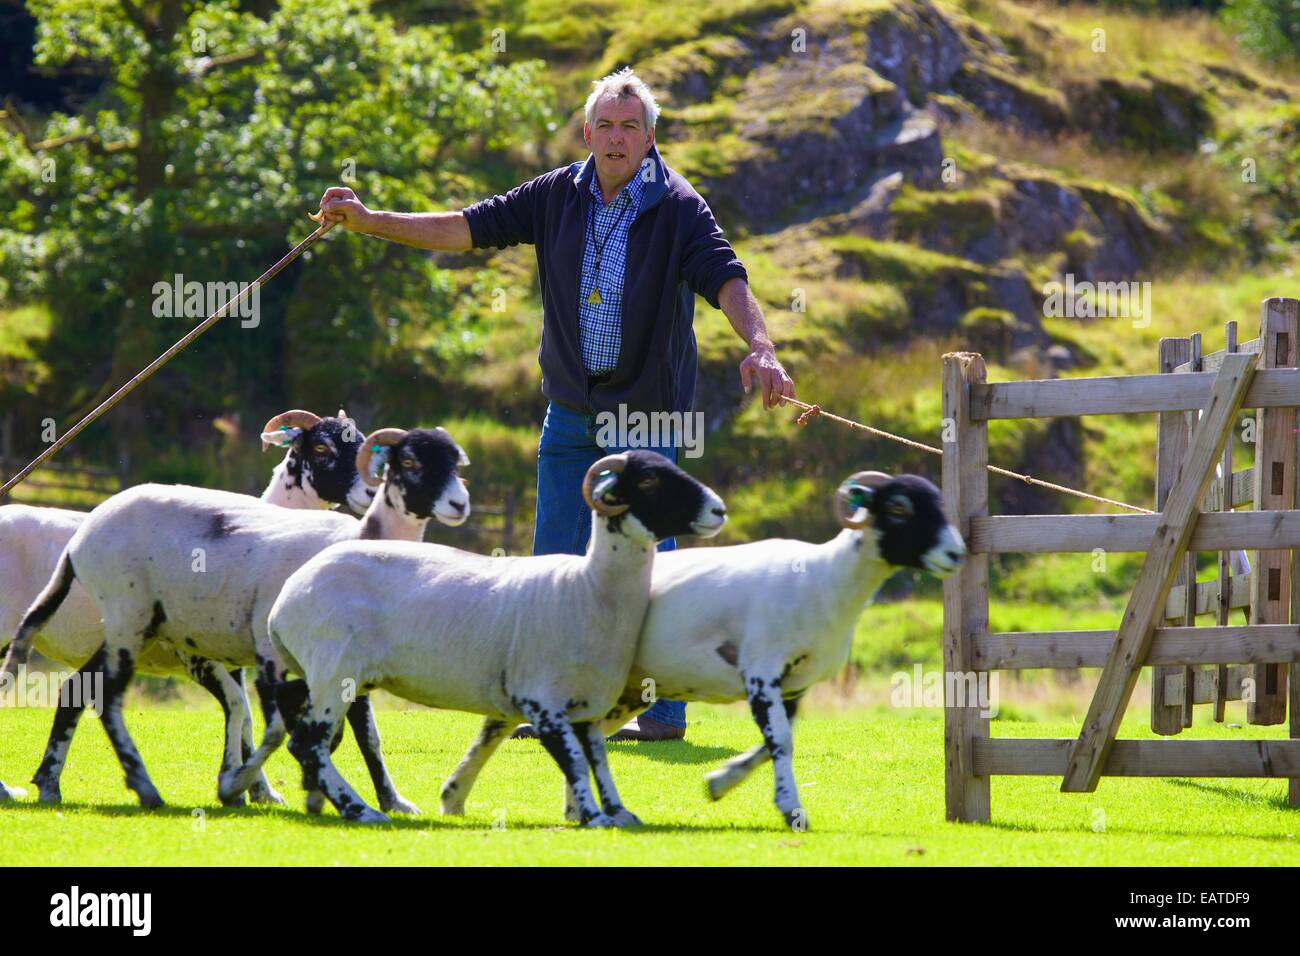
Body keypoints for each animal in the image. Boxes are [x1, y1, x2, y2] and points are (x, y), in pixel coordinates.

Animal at [252, 452, 722, 827]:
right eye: (648, 481)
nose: (718, 509)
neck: (585, 588)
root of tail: (288, 596)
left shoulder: (585, 706)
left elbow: (597, 759)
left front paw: (618, 811)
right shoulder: (541, 700)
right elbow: (574, 762)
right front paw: (593, 815)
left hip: (321, 672)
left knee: (297, 715)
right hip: (335, 672)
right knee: (308, 743)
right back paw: (360, 810)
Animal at [447, 470, 967, 832]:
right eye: (899, 508)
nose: (956, 555)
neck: (826, 579)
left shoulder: (794, 685)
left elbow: (773, 744)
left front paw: (720, 783)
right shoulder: (760, 670)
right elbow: (781, 742)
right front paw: (791, 811)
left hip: (623, 691)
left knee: (540, 728)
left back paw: (558, 806)